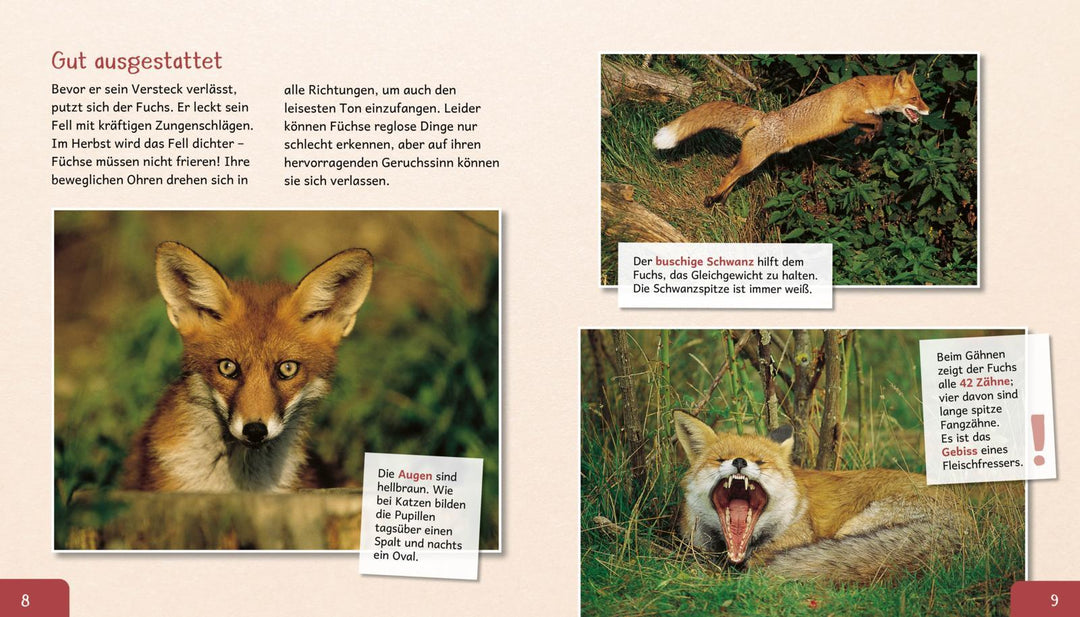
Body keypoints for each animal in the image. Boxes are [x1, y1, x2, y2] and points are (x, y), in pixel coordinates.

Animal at [653, 70, 930, 207]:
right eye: (915, 98)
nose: (928, 111)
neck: (866, 92)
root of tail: (764, 116)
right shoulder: (849, 114)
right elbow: (879, 121)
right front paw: (871, 133)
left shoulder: (854, 120)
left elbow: (873, 124)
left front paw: (866, 137)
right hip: (752, 161)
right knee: (729, 175)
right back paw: (713, 197)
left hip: (752, 162)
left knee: (733, 176)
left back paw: (720, 199)